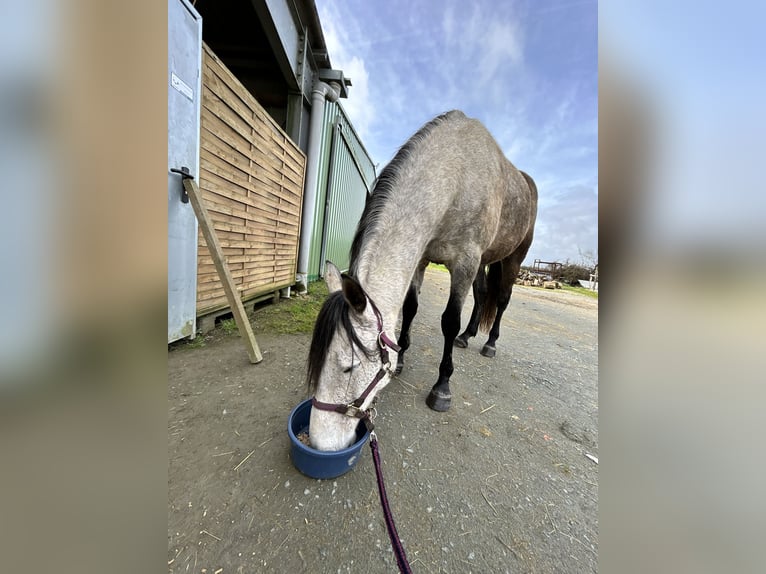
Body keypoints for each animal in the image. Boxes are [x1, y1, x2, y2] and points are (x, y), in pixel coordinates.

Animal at [306, 110, 538, 451]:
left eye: (348, 365)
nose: (320, 442)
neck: (456, 173)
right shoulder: (422, 258)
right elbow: (411, 309)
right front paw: (401, 357)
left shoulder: (465, 262)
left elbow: (449, 321)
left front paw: (442, 387)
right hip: (485, 262)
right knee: (483, 296)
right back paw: (467, 337)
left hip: (512, 260)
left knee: (502, 301)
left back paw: (490, 343)